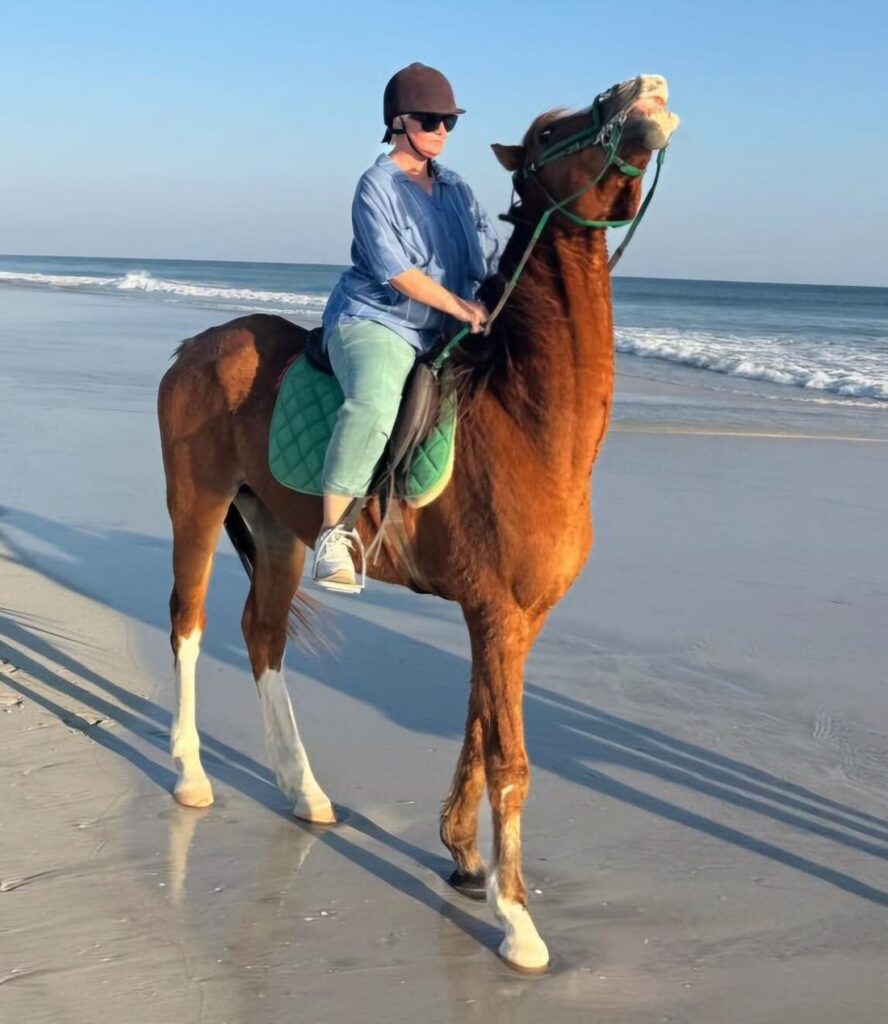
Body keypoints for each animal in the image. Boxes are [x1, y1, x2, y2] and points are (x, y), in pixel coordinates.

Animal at [157, 74, 679, 970]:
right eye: (553, 131)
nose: (640, 89)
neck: (530, 418)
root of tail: (196, 345)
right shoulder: (498, 612)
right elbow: (511, 760)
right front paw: (517, 921)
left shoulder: (511, 618)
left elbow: (476, 728)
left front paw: (465, 858)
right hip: (197, 505)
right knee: (189, 627)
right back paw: (192, 777)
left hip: (279, 532)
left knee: (263, 636)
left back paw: (304, 791)